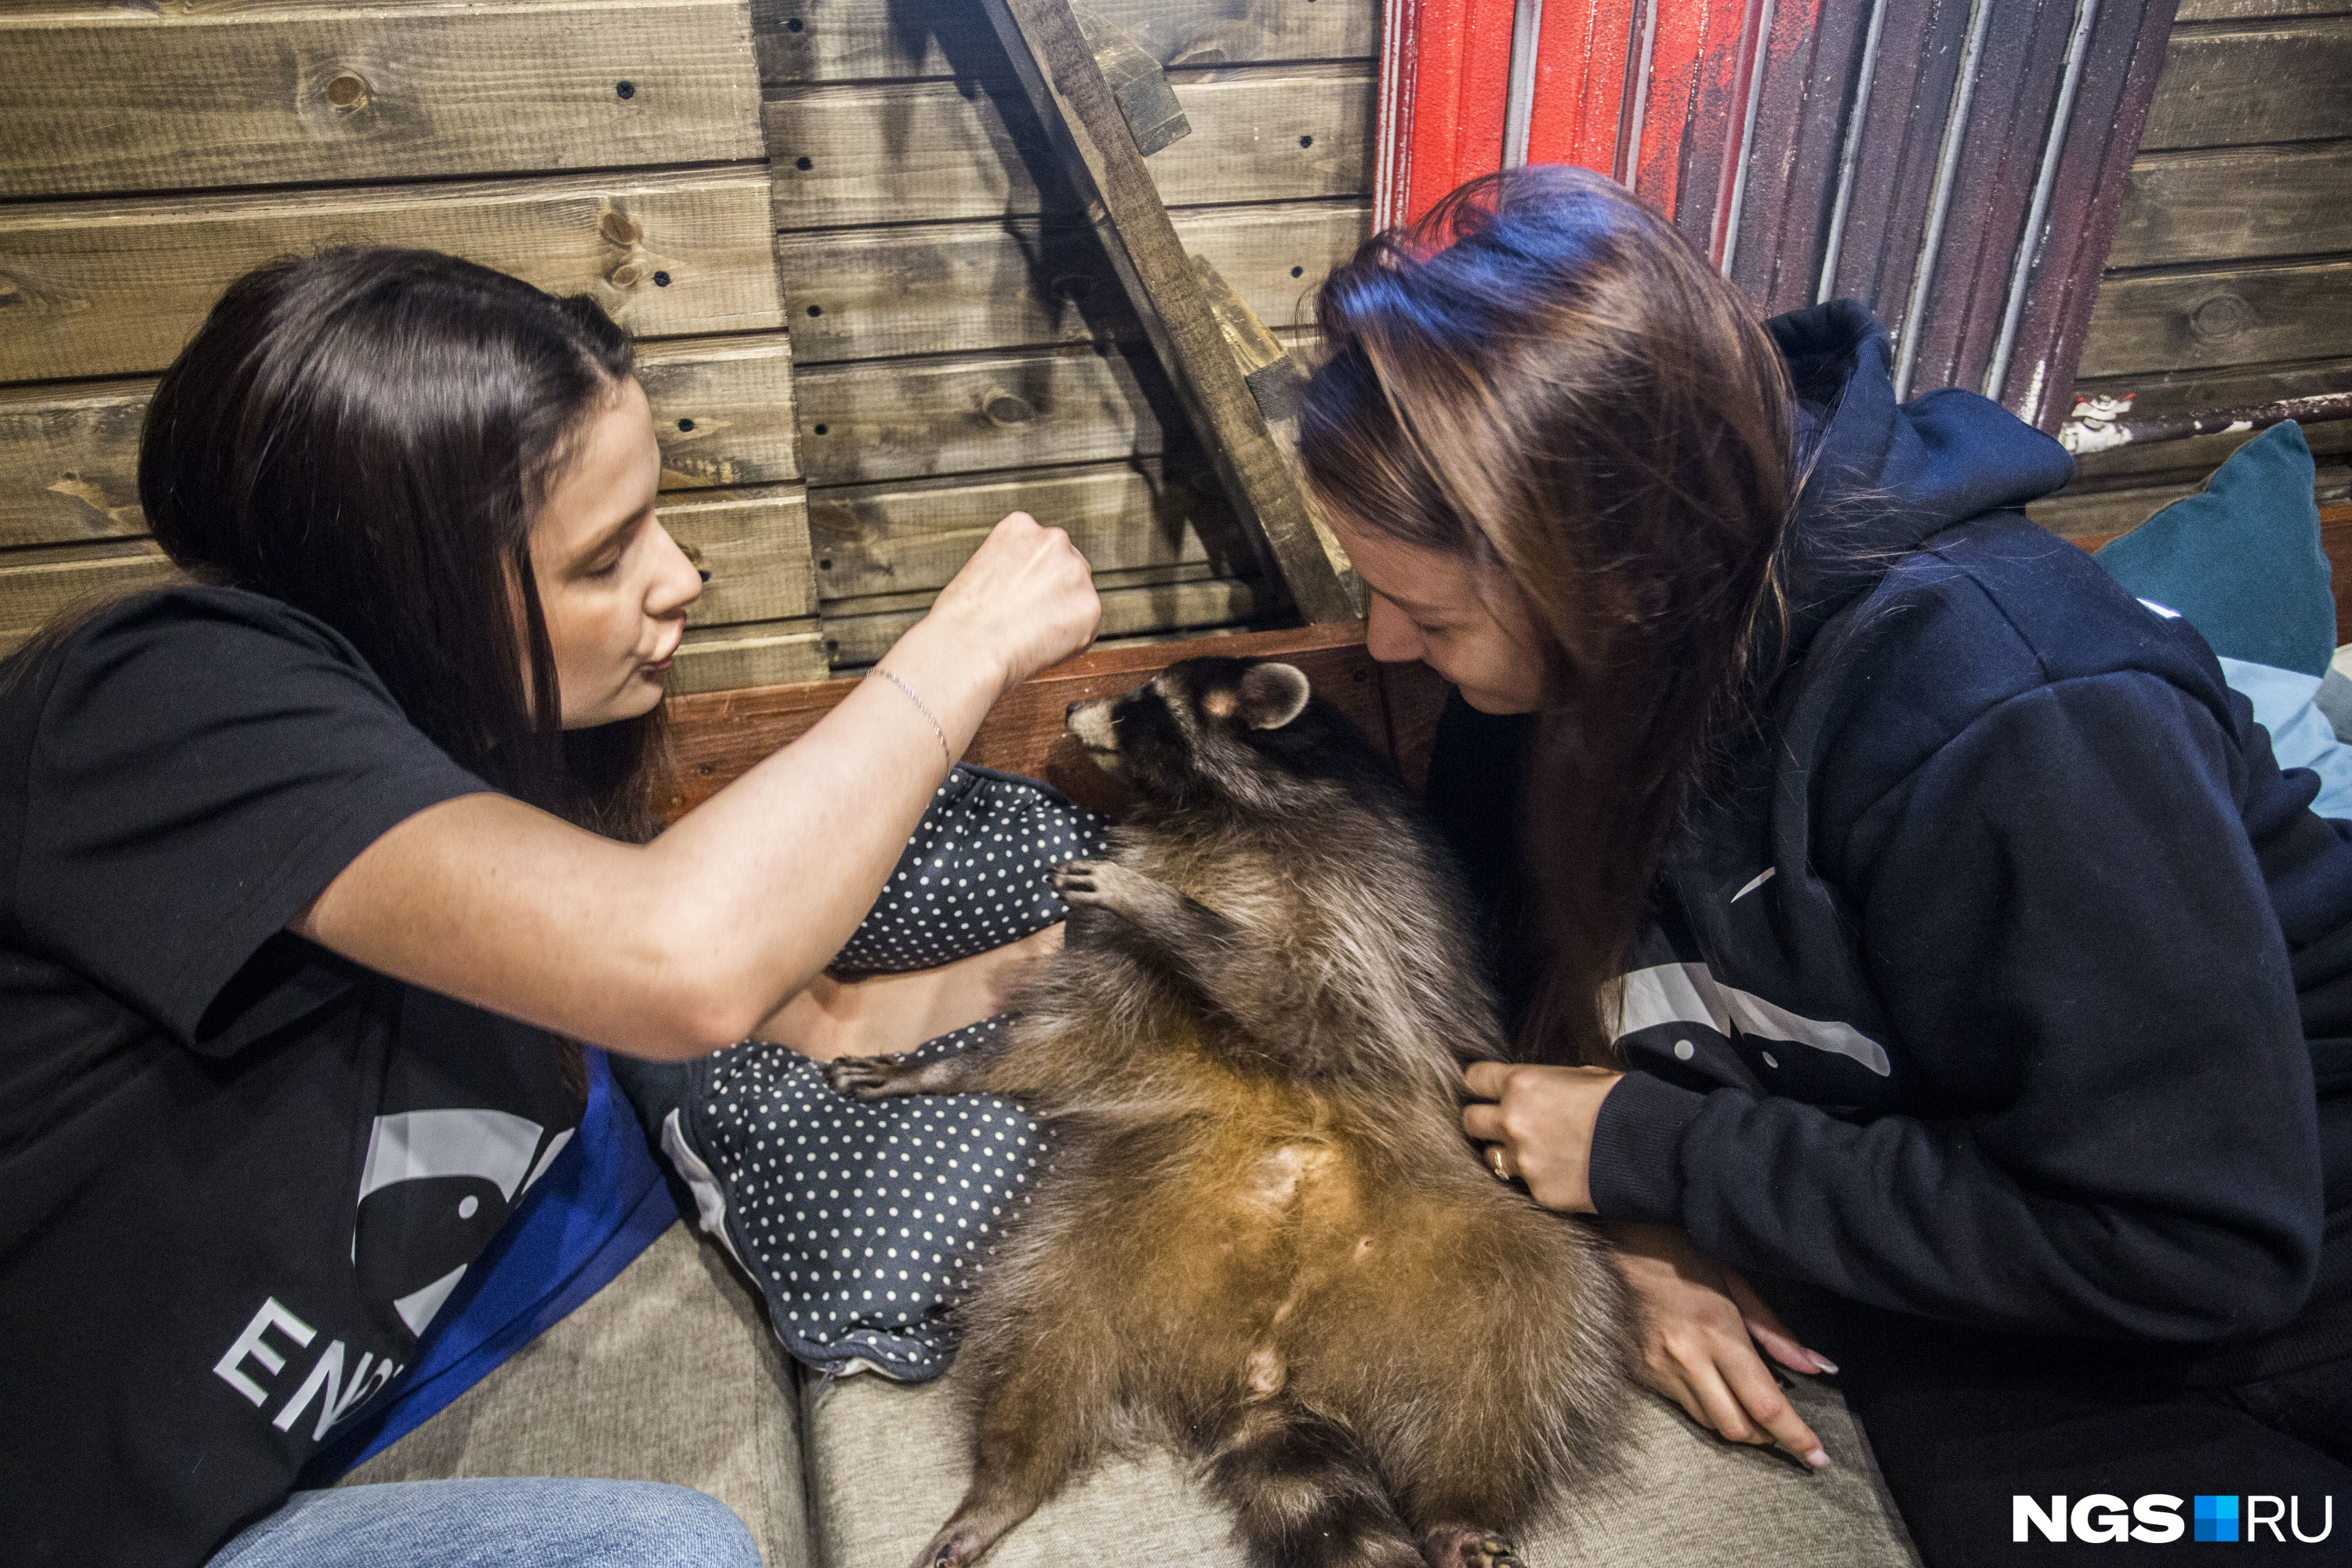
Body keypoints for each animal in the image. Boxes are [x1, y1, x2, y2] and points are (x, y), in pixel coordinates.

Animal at [818, 658, 1628, 1568]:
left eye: (1141, 703)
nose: (1072, 704)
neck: (1210, 806)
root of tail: (1266, 1365)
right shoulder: (1117, 968)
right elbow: (1068, 1038)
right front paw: (947, 1065)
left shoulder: (1362, 912)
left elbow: (1310, 1004)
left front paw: (1163, 907)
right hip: (1095, 1238)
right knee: (1037, 1331)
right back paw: (1004, 1479)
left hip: (1475, 1254)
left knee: (1539, 1329)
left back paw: (1461, 1504)